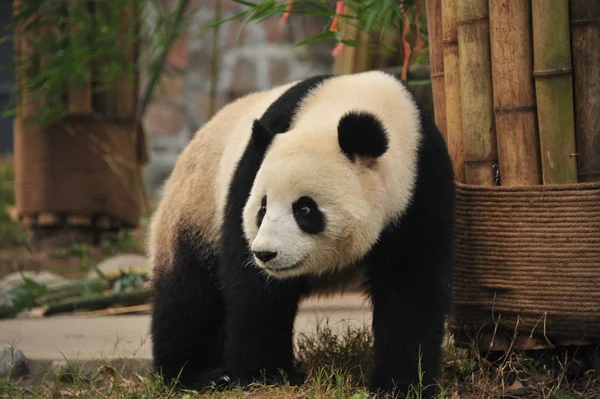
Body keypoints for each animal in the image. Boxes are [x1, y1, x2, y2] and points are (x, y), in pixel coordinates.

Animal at [149, 70, 454, 398]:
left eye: (304, 209)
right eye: (262, 207)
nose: (265, 253)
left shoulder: (420, 186)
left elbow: (411, 286)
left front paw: (401, 385)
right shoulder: (250, 171)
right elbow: (254, 289)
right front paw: (264, 375)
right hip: (197, 207)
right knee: (188, 295)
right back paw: (192, 374)